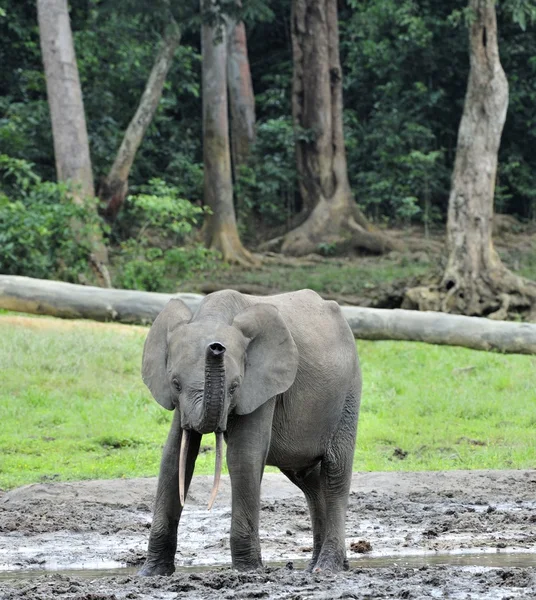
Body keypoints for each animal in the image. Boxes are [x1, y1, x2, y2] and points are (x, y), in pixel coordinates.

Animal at [140, 290, 362, 576]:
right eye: (175, 383)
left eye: (234, 387)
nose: (216, 347)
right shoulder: (180, 405)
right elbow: (174, 456)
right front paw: (151, 573)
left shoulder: (264, 386)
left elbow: (243, 456)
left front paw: (248, 571)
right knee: (309, 480)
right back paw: (320, 566)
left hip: (349, 392)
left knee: (334, 474)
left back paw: (326, 568)